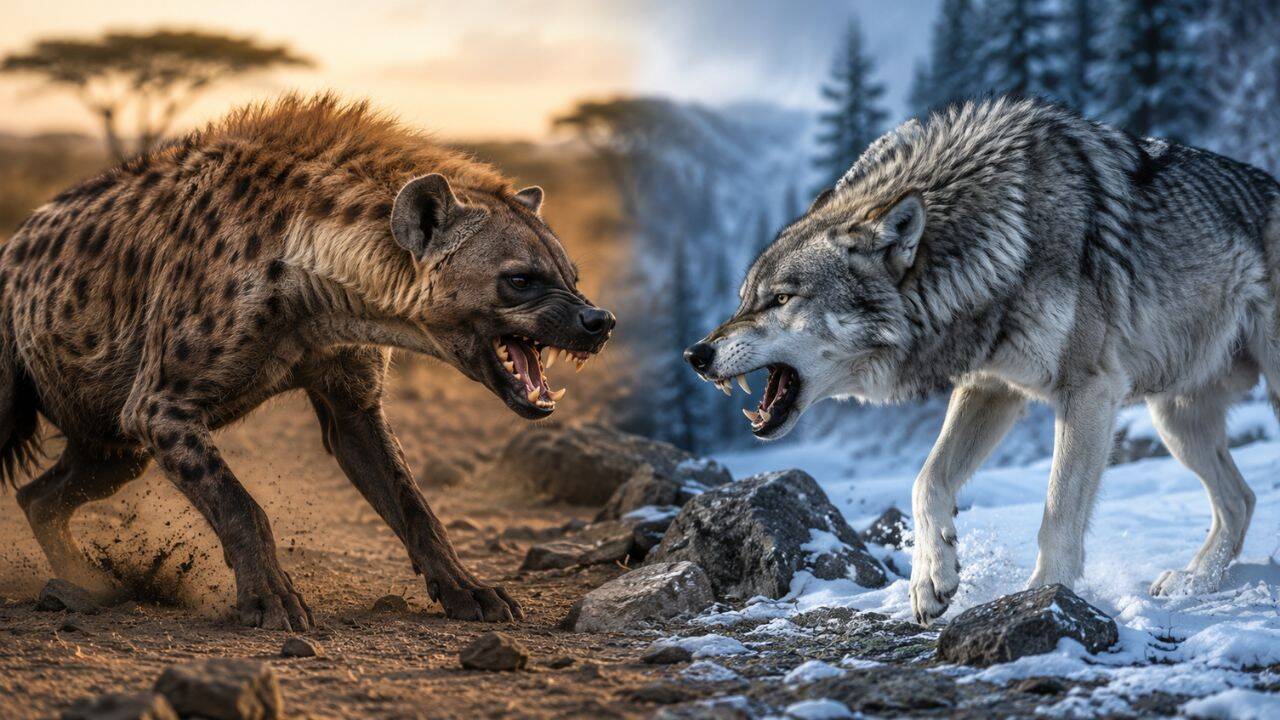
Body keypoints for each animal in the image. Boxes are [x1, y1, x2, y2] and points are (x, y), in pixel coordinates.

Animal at [0, 94, 613, 629]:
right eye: (520, 279)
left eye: (572, 276)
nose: (600, 321)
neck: (313, 293)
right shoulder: (159, 407)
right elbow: (240, 505)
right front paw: (271, 602)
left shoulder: (352, 400)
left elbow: (413, 503)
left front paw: (472, 592)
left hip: (111, 440)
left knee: (41, 495)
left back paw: (88, 580)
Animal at [685, 96, 1280, 625]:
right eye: (744, 300)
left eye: (780, 299)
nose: (695, 354)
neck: (998, 237)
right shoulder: (991, 386)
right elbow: (926, 480)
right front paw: (932, 577)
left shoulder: (1089, 391)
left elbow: (1058, 511)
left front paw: (1046, 595)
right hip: (1174, 420)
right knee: (1242, 500)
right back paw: (1192, 581)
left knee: (1241, 498)